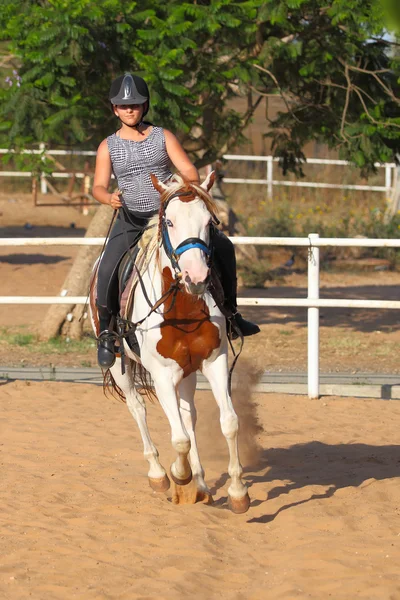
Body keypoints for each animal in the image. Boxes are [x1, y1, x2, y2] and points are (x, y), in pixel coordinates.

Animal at [90, 171, 250, 512]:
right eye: (171, 222)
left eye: (209, 222)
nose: (197, 276)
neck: (183, 309)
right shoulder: (162, 374)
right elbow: (179, 438)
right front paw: (179, 474)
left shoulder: (214, 363)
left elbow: (229, 422)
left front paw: (238, 492)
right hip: (121, 367)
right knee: (138, 409)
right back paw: (160, 475)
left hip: (187, 372)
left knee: (188, 416)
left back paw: (200, 484)